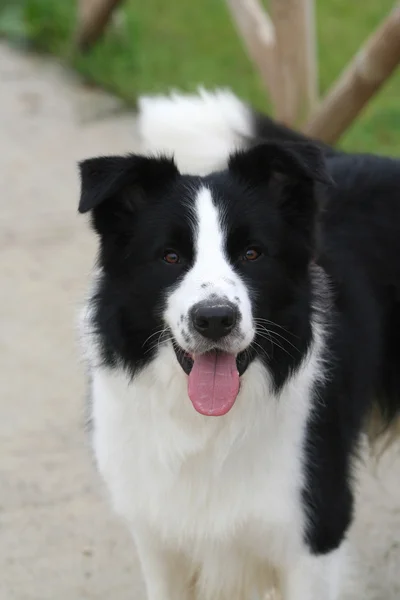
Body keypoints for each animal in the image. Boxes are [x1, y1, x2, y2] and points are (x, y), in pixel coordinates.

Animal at [78, 90, 400, 600]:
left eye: (252, 253)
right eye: (170, 256)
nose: (214, 319)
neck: (206, 429)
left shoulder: (315, 532)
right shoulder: (158, 540)